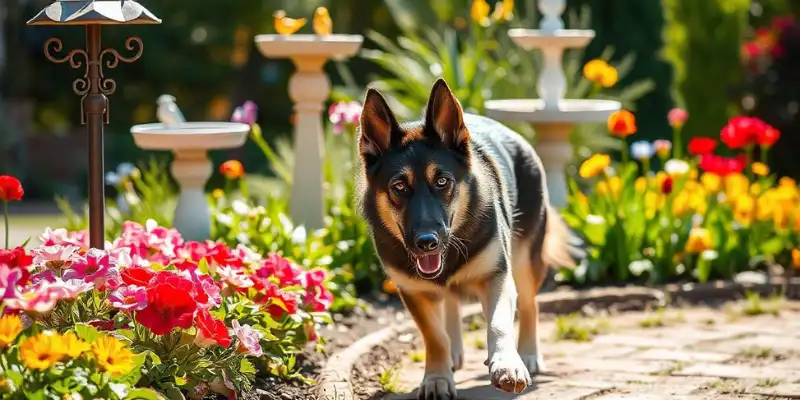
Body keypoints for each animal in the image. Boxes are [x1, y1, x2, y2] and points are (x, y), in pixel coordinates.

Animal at [356, 79, 576, 400]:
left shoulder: (497, 276)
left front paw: (508, 364)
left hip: (525, 261)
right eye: (399, 187)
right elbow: (434, 335)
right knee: (450, 304)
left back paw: (528, 353)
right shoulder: (412, 291)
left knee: (529, 304)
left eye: (442, 182)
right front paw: (437, 376)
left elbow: (498, 323)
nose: (427, 242)